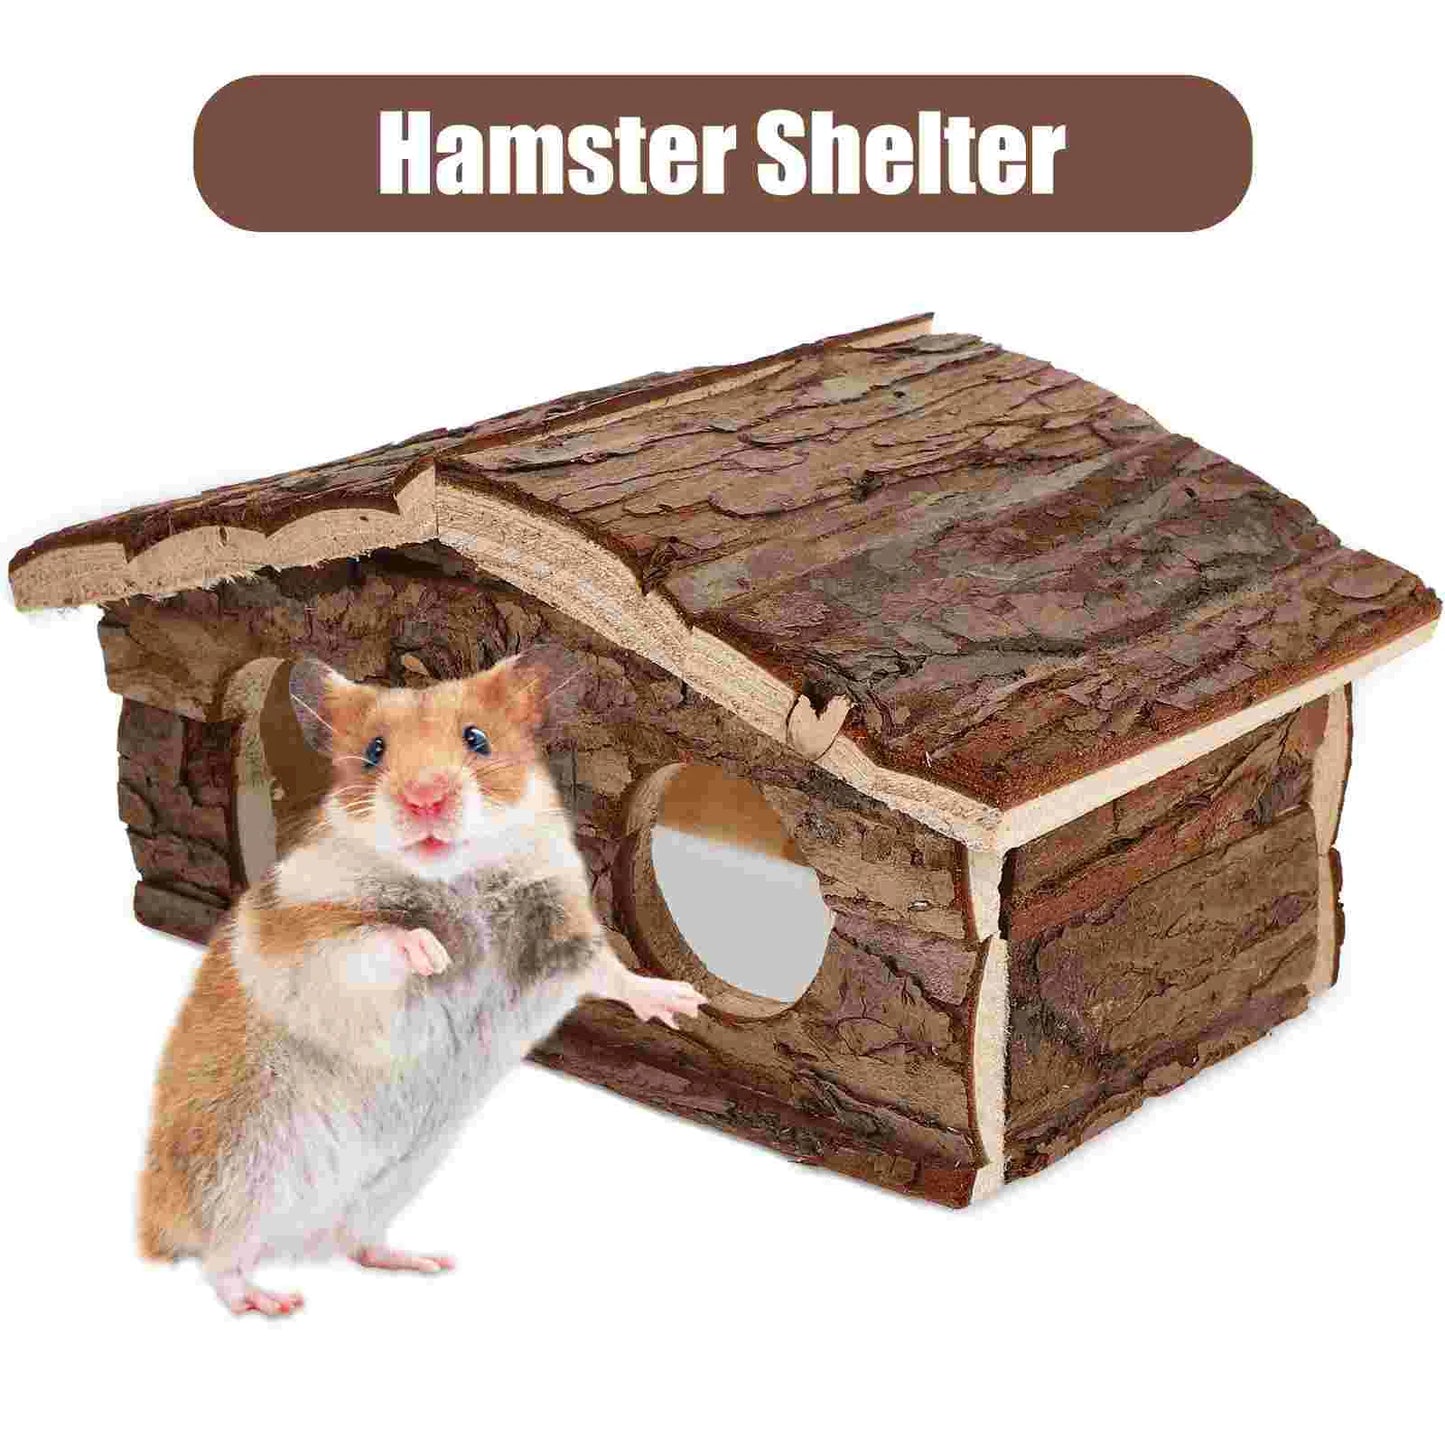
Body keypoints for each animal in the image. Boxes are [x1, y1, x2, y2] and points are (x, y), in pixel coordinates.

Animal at [138, 651, 705, 1317]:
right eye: (374, 751)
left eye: (477, 739)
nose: (425, 797)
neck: (457, 877)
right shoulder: (311, 938)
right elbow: (376, 939)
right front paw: (433, 953)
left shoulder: (561, 933)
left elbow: (611, 972)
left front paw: (684, 1003)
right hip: (242, 1174)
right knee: (220, 1261)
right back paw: (271, 1300)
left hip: (386, 1185)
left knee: (355, 1246)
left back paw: (423, 1262)